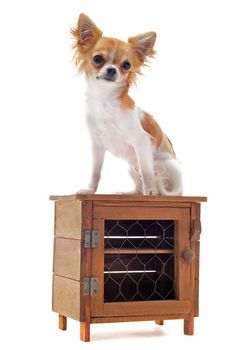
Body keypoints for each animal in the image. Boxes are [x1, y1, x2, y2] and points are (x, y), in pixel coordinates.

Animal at [70, 13, 182, 196]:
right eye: (97, 59)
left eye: (126, 65)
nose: (112, 70)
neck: (106, 100)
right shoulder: (97, 146)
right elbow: (95, 171)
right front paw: (90, 189)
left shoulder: (141, 141)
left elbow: (146, 171)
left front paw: (151, 191)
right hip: (131, 168)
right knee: (138, 186)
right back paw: (129, 193)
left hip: (167, 164)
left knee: (160, 181)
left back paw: (156, 191)